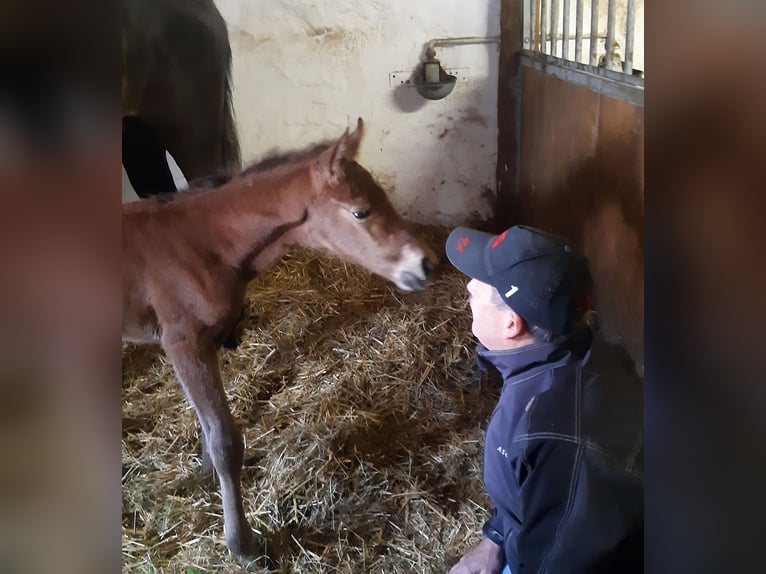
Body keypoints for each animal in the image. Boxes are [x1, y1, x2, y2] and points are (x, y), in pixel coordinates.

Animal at [124, 118, 440, 560]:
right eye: (360, 211)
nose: (426, 264)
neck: (200, 246)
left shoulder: (206, 342)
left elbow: (208, 425)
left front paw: (204, 474)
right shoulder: (183, 342)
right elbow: (225, 440)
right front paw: (241, 544)